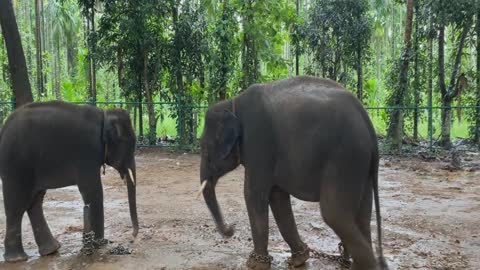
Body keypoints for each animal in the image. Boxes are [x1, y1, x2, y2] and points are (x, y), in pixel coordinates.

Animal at [0, 100, 139, 262]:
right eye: (129, 144)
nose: (133, 236)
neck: (105, 114)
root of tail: (4, 127)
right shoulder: (87, 152)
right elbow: (92, 190)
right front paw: (100, 244)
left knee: (35, 202)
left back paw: (50, 250)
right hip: (16, 164)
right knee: (17, 205)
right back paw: (17, 259)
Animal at [199, 76, 390, 270]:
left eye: (205, 149)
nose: (231, 229)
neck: (232, 103)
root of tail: (366, 120)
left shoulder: (259, 143)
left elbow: (253, 195)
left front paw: (254, 264)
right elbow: (277, 198)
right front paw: (299, 259)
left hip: (345, 157)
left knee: (334, 213)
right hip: (361, 166)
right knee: (362, 214)